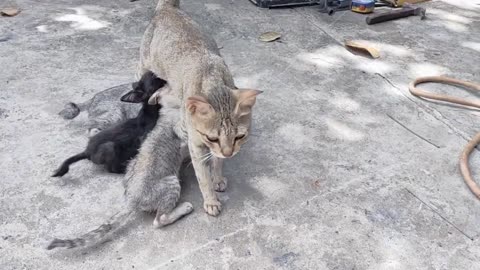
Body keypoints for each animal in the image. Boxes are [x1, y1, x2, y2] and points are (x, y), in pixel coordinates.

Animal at [137, 0, 260, 216]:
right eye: (212, 138)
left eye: (239, 136)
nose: (229, 153)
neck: (213, 79)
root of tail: (168, 8)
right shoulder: (196, 145)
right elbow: (203, 177)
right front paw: (210, 200)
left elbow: (217, 162)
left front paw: (218, 177)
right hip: (144, 67)